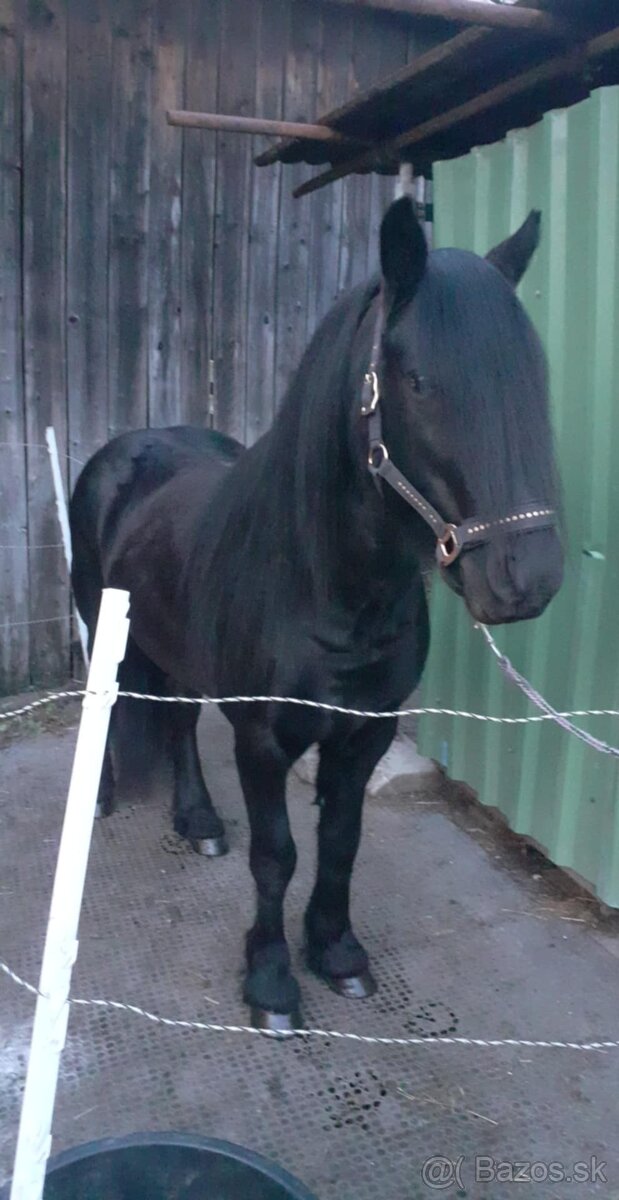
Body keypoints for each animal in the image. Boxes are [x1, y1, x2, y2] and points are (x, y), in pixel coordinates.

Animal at [70, 197, 564, 1031]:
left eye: (533, 376)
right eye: (420, 383)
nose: (524, 579)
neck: (324, 591)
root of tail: (130, 447)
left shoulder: (366, 733)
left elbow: (340, 841)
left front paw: (335, 951)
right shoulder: (264, 740)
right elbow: (278, 855)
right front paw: (270, 980)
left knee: (177, 722)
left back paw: (198, 822)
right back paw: (103, 798)